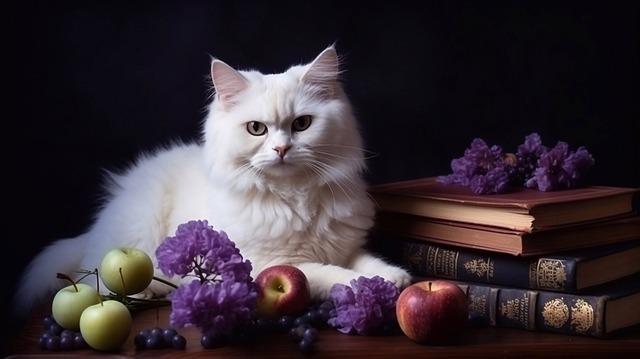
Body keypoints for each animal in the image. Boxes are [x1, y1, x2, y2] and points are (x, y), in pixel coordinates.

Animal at [15, 46, 410, 314]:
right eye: (256, 129)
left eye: (302, 124)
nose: (282, 149)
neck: (293, 195)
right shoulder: (261, 265)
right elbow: (327, 273)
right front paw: (365, 285)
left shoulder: (345, 246)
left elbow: (366, 262)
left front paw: (395, 278)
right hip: (139, 230)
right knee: (101, 278)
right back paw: (151, 292)